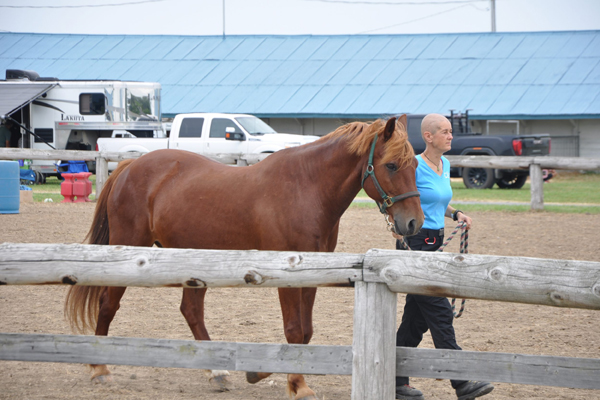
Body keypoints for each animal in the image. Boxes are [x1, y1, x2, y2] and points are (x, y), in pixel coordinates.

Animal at [64, 114, 422, 398]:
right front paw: (297, 385)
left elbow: (305, 332)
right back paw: (99, 368)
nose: (413, 223)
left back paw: (217, 372)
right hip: (127, 251)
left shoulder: (313, 273)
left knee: (191, 311)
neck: (305, 187)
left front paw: (267, 374)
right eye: (391, 165)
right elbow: (294, 330)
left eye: (416, 165)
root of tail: (129, 167)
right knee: (108, 304)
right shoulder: (287, 274)